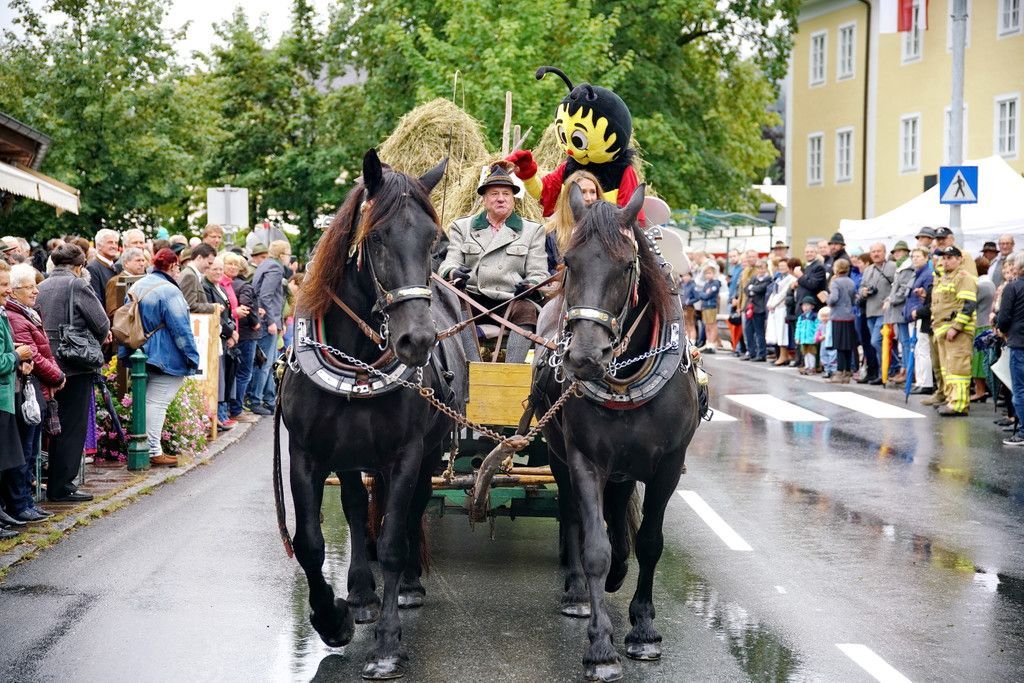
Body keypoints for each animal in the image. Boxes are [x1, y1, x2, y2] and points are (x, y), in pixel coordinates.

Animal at [274, 149, 466, 680]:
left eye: (435, 242)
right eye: (376, 237)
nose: (416, 340)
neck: (357, 359)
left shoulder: (405, 455)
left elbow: (396, 540)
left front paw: (386, 645)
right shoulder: (306, 453)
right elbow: (311, 542)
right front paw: (333, 618)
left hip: (427, 452)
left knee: (414, 508)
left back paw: (409, 587)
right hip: (349, 455)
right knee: (357, 508)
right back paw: (360, 593)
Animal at [535, 183, 702, 681]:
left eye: (627, 264)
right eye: (569, 262)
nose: (584, 358)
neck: (627, 377)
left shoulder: (668, 466)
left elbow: (650, 541)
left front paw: (643, 629)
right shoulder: (585, 460)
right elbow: (595, 546)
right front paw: (600, 647)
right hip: (559, 456)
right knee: (571, 513)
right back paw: (575, 591)